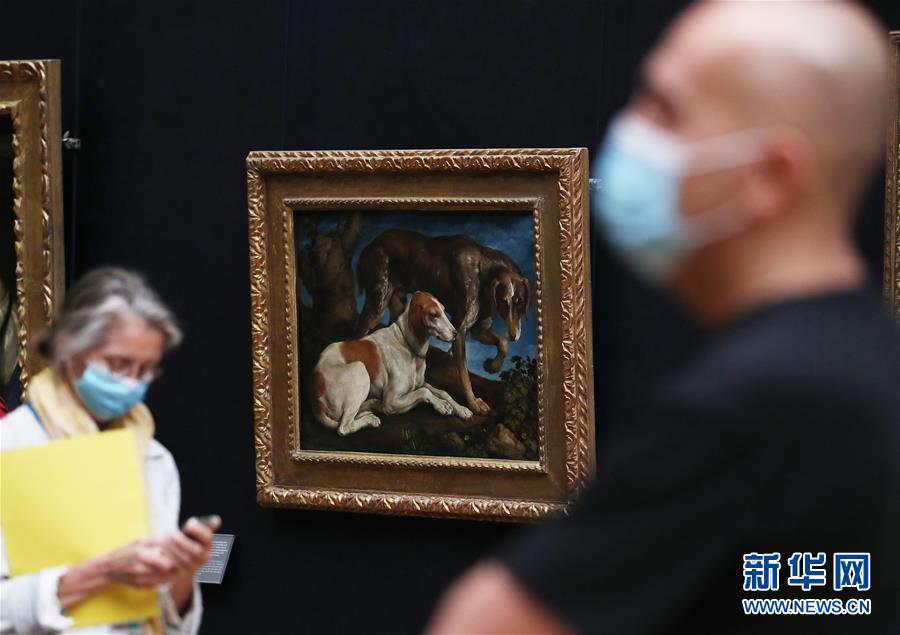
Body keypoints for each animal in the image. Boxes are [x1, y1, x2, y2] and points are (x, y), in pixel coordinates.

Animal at [312, 291, 473, 436]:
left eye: (444, 310)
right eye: (434, 314)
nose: (456, 334)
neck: (407, 345)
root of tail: (315, 398)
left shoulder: (420, 383)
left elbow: (443, 392)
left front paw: (461, 409)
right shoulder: (392, 401)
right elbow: (424, 392)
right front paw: (441, 405)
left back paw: (373, 405)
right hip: (360, 369)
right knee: (343, 427)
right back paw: (370, 420)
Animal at [356, 229, 532, 415]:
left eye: (520, 303)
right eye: (503, 302)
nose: (514, 335)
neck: (481, 269)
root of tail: (370, 245)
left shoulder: (479, 331)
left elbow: (503, 344)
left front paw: (493, 366)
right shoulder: (459, 331)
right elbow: (464, 375)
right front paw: (473, 402)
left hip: (398, 305)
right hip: (376, 306)